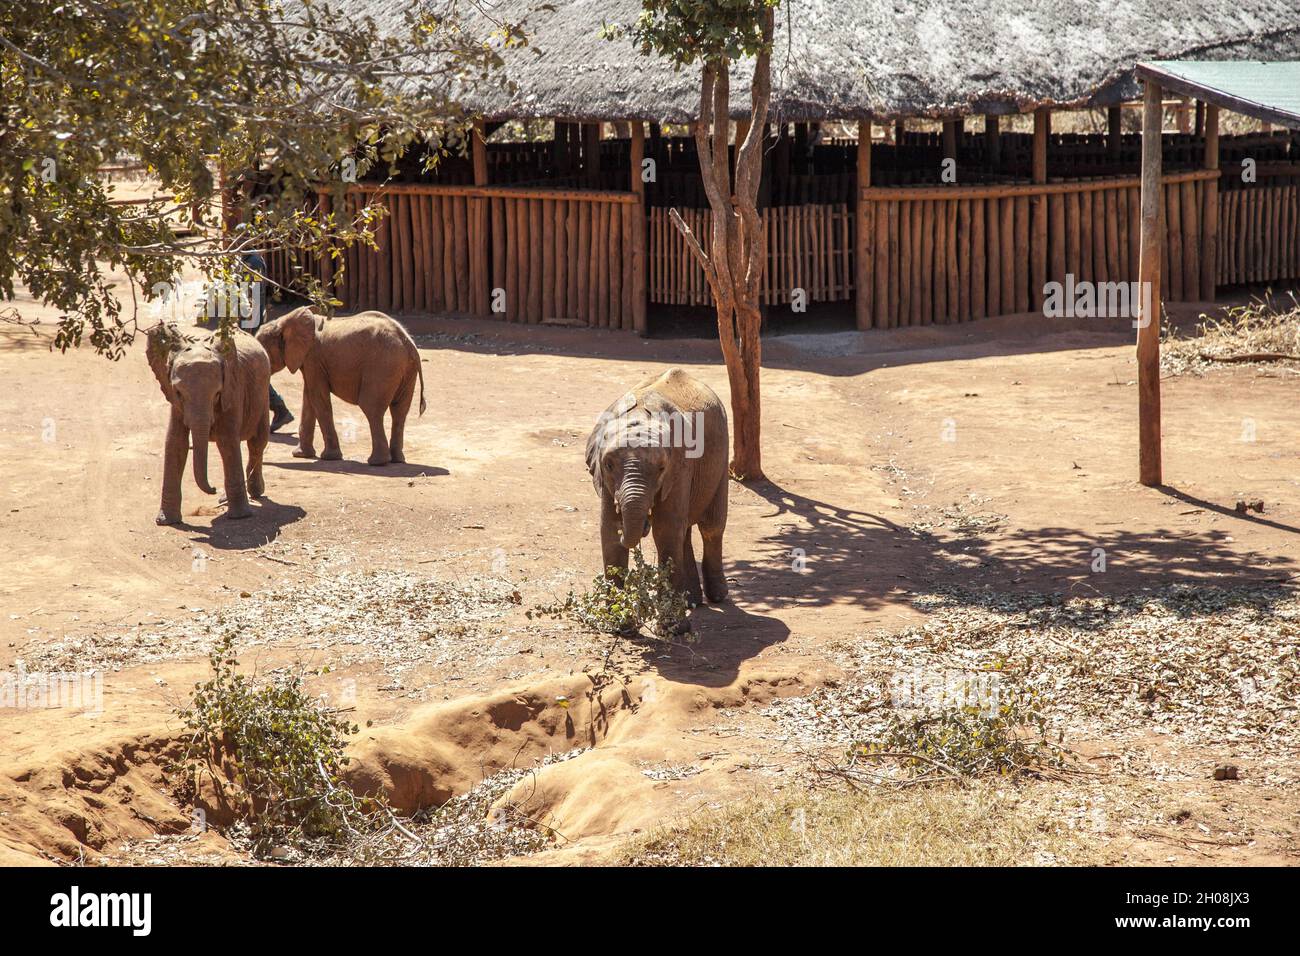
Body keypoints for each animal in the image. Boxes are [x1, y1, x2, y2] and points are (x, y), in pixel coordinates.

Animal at [146, 325, 271, 525]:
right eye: (179, 392)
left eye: (217, 394)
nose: (213, 488)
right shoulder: (176, 402)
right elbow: (175, 442)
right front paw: (166, 521)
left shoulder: (232, 390)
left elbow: (227, 441)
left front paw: (240, 517)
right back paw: (226, 499)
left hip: (263, 393)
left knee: (257, 442)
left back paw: (255, 492)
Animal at [256, 307, 426, 466]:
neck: (285, 321)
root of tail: (409, 343)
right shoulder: (310, 362)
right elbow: (309, 399)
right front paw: (300, 455)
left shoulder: (314, 359)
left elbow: (317, 398)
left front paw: (329, 458)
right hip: (405, 370)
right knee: (399, 411)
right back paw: (397, 460)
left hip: (383, 366)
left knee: (372, 408)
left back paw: (377, 462)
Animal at [585, 367, 729, 608]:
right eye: (609, 465)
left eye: (661, 468)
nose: (644, 523)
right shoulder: (605, 480)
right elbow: (609, 529)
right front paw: (617, 615)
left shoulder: (680, 467)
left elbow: (666, 528)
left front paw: (670, 618)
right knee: (685, 530)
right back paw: (690, 601)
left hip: (722, 453)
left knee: (711, 527)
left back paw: (717, 596)